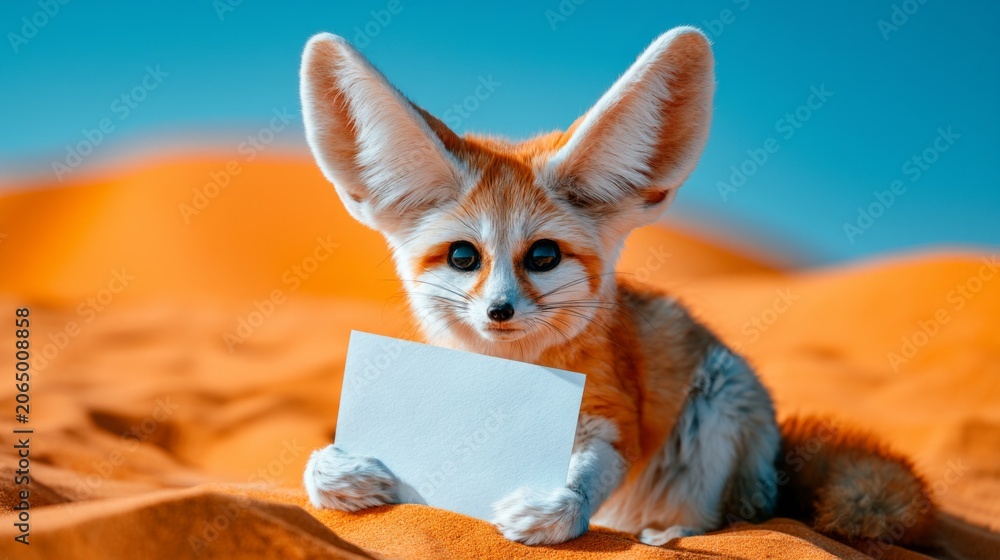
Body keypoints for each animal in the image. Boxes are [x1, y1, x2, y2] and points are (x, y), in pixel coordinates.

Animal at [299, 27, 936, 550]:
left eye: (543, 256)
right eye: (463, 256)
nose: (500, 310)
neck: (510, 366)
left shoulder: (613, 411)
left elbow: (589, 475)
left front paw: (557, 510)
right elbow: (314, 470)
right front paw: (338, 473)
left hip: (718, 397)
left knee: (726, 520)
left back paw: (669, 535)